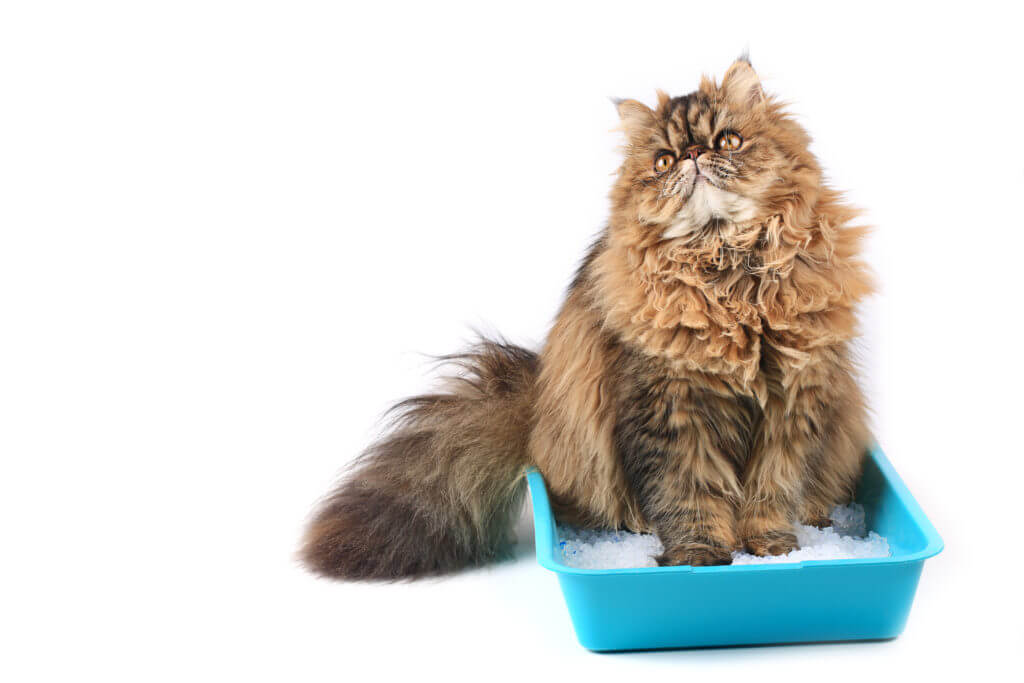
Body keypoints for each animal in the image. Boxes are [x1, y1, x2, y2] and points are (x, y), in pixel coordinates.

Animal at [301, 58, 872, 581]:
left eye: (728, 141)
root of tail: (536, 405)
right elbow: (688, 494)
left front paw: (775, 550)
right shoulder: (667, 408)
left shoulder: (794, 407)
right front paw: (699, 557)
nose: (692, 155)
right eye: (663, 160)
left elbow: (773, 492)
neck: (728, 274)